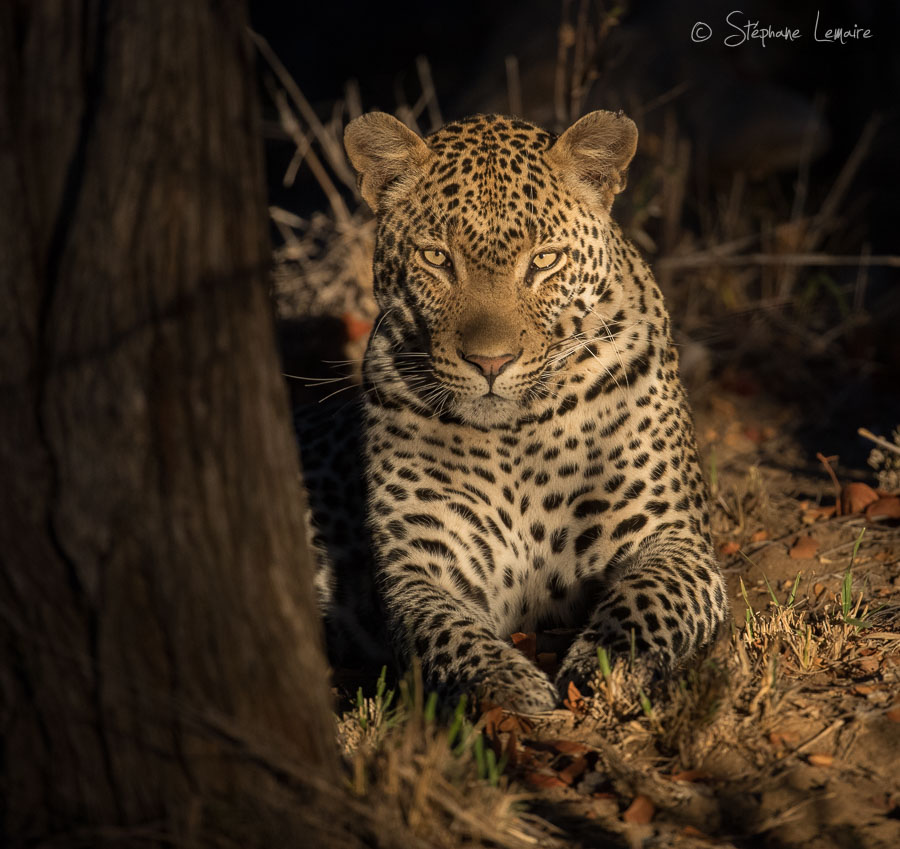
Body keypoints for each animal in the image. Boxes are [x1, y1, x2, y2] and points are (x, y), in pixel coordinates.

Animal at [297, 109, 728, 713]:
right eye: (437, 258)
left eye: (543, 260)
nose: (490, 362)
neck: (517, 437)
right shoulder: (420, 570)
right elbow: (447, 633)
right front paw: (510, 686)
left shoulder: (673, 539)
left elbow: (645, 603)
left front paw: (606, 667)